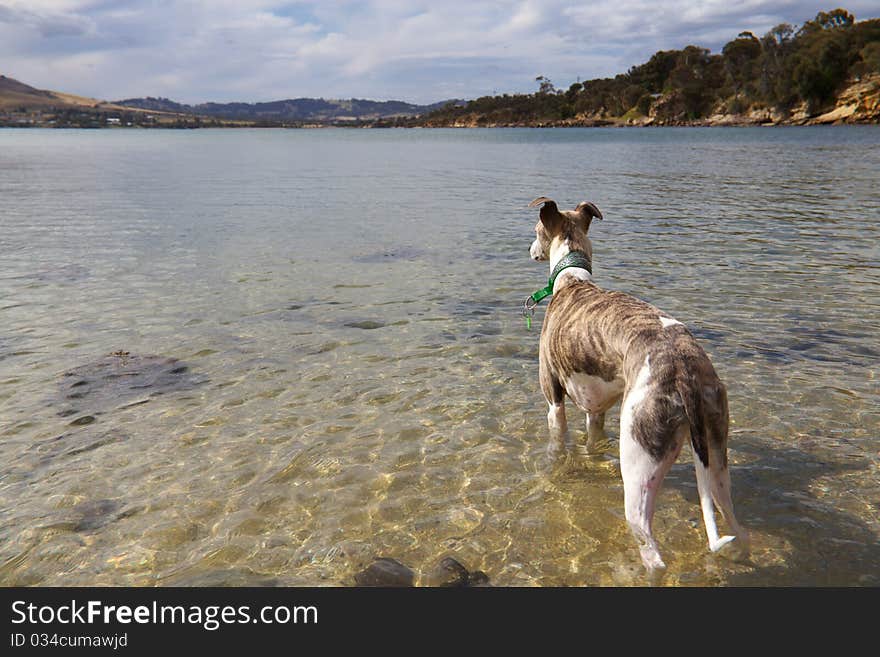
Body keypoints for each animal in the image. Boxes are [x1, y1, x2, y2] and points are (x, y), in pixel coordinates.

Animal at [528, 196, 748, 576]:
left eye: (536, 230)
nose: (530, 251)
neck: (571, 281)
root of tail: (684, 370)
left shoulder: (554, 404)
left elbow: (557, 443)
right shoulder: (596, 409)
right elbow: (592, 439)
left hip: (638, 460)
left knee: (652, 551)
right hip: (716, 454)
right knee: (732, 519)